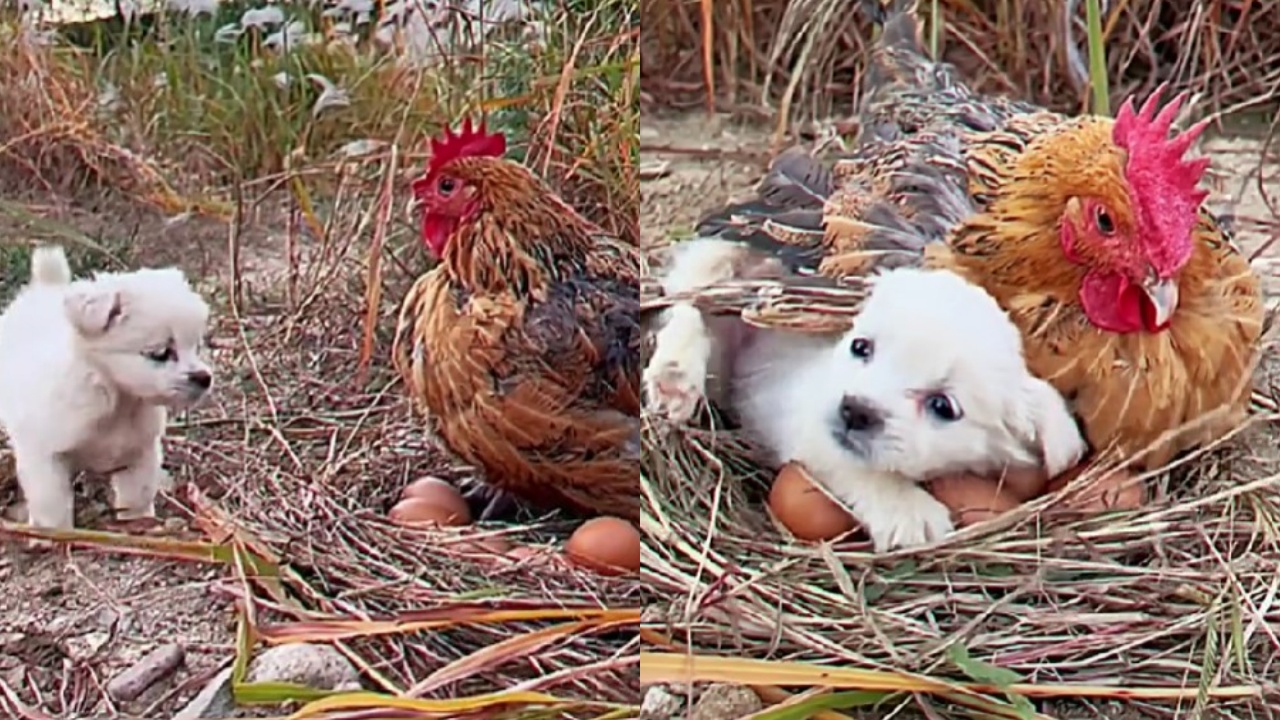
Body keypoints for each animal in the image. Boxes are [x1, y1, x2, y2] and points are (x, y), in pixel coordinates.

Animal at [0, 243, 213, 530]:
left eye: (196, 346)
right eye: (160, 353)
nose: (204, 378)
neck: (118, 401)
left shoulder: (140, 454)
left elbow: (137, 497)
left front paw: (139, 525)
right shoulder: (44, 458)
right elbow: (52, 507)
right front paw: (57, 534)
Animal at [645, 239, 1085, 548]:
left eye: (942, 406)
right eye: (861, 347)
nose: (854, 410)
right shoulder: (803, 419)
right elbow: (854, 466)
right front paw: (907, 509)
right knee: (690, 304)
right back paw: (675, 375)